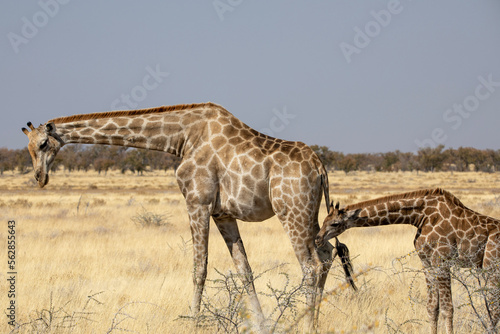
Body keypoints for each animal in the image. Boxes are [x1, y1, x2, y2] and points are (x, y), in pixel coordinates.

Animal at [21, 102, 354, 332]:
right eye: (28, 148)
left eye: (43, 144)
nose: (39, 178)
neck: (181, 138)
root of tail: (320, 168)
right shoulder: (222, 214)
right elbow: (244, 270)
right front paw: (262, 324)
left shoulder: (197, 202)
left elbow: (199, 269)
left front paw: (192, 322)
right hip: (310, 215)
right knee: (326, 255)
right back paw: (315, 320)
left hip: (291, 211)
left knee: (310, 266)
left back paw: (307, 324)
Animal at [316, 188, 500, 334]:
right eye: (323, 221)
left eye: (335, 223)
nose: (317, 239)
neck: (419, 216)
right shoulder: (427, 262)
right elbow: (432, 307)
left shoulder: (442, 261)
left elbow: (448, 308)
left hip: (491, 267)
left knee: (493, 308)